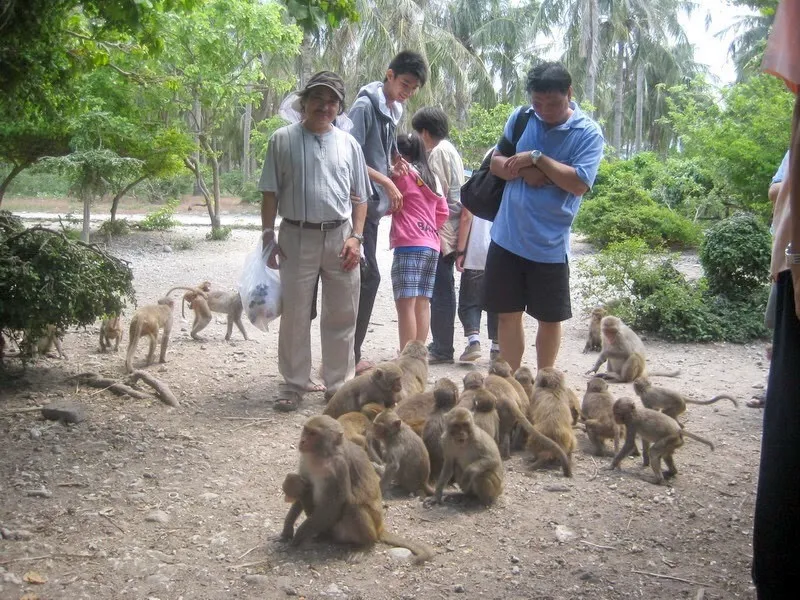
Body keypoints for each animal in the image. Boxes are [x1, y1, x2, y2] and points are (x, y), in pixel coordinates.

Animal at [278, 414, 434, 560]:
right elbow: (303, 486)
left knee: (352, 506)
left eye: (313, 434)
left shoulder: (339, 467)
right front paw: (288, 528)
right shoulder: (305, 459)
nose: (302, 441)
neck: (322, 455)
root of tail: (380, 528)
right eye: (306, 430)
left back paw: (365, 545)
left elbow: (334, 504)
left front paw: (299, 535)